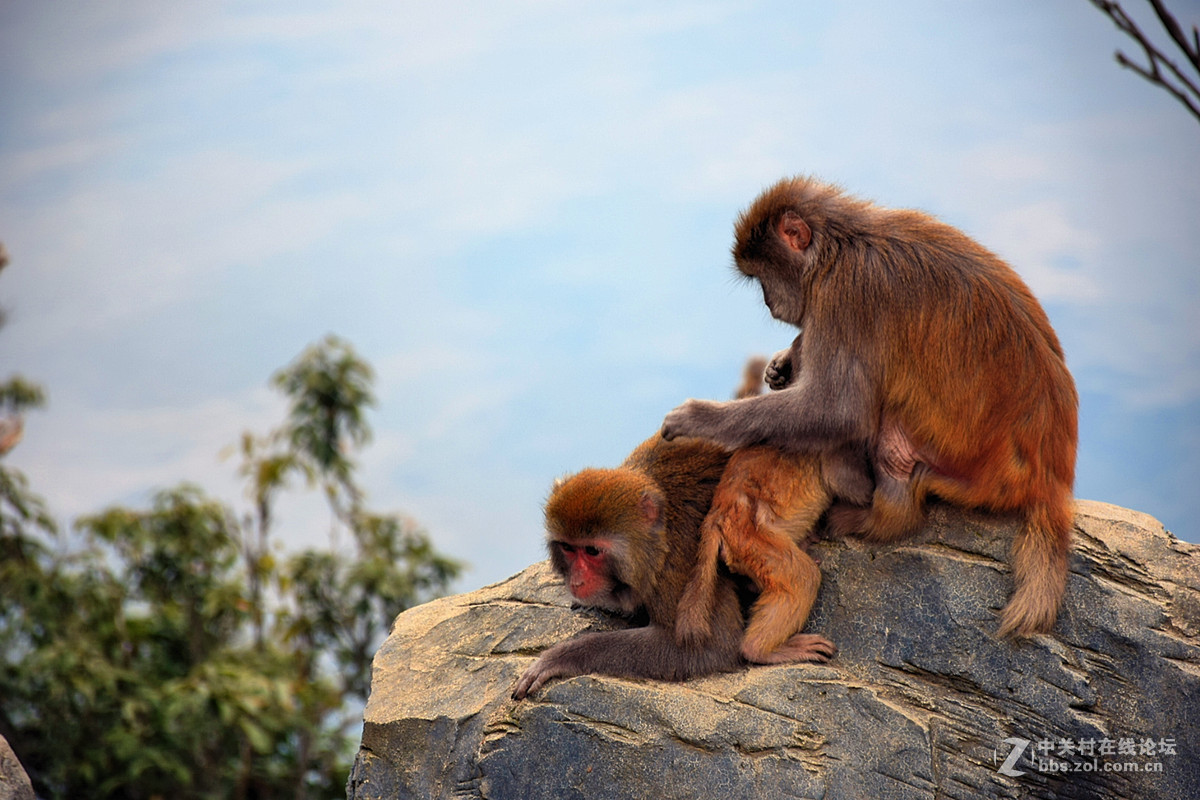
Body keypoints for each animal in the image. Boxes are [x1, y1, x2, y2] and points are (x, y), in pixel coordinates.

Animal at [508, 431, 835, 700]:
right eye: (568, 548)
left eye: (592, 551)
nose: (576, 581)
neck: (659, 536)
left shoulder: (681, 561)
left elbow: (707, 648)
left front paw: (560, 657)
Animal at [662, 176, 1084, 638]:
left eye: (761, 277)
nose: (772, 304)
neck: (838, 247)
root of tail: (1051, 478)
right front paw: (781, 364)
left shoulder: (844, 294)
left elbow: (837, 411)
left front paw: (699, 419)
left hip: (965, 469)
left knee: (879, 432)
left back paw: (874, 518)